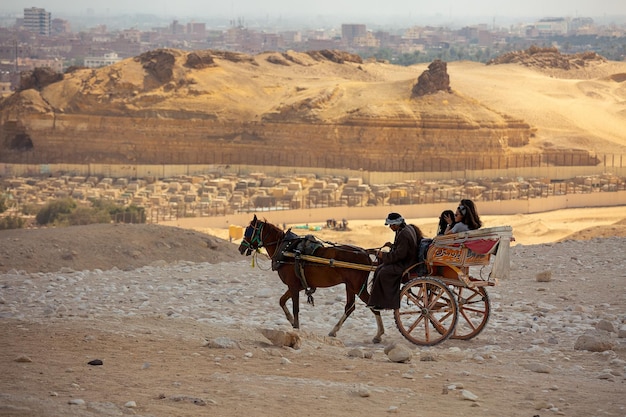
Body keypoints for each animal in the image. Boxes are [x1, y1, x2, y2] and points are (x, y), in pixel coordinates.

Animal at [239, 214, 382, 342]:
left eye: (248, 230)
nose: (241, 248)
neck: (286, 249)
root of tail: (366, 254)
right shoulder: (297, 286)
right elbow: (281, 301)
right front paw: (292, 322)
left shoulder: (293, 286)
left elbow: (295, 308)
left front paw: (296, 328)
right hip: (350, 286)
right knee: (350, 307)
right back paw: (334, 331)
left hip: (357, 287)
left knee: (370, 304)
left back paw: (379, 334)